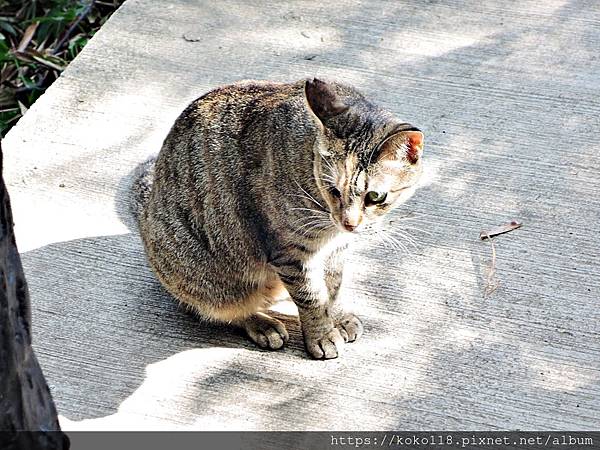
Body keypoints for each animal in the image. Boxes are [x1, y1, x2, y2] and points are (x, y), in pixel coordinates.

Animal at [132, 77, 422, 358]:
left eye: (375, 197)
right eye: (333, 190)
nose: (348, 223)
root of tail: (148, 205)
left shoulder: (336, 249)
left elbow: (333, 287)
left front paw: (338, 318)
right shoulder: (291, 252)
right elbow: (312, 298)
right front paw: (322, 335)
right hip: (211, 282)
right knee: (220, 309)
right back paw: (263, 324)